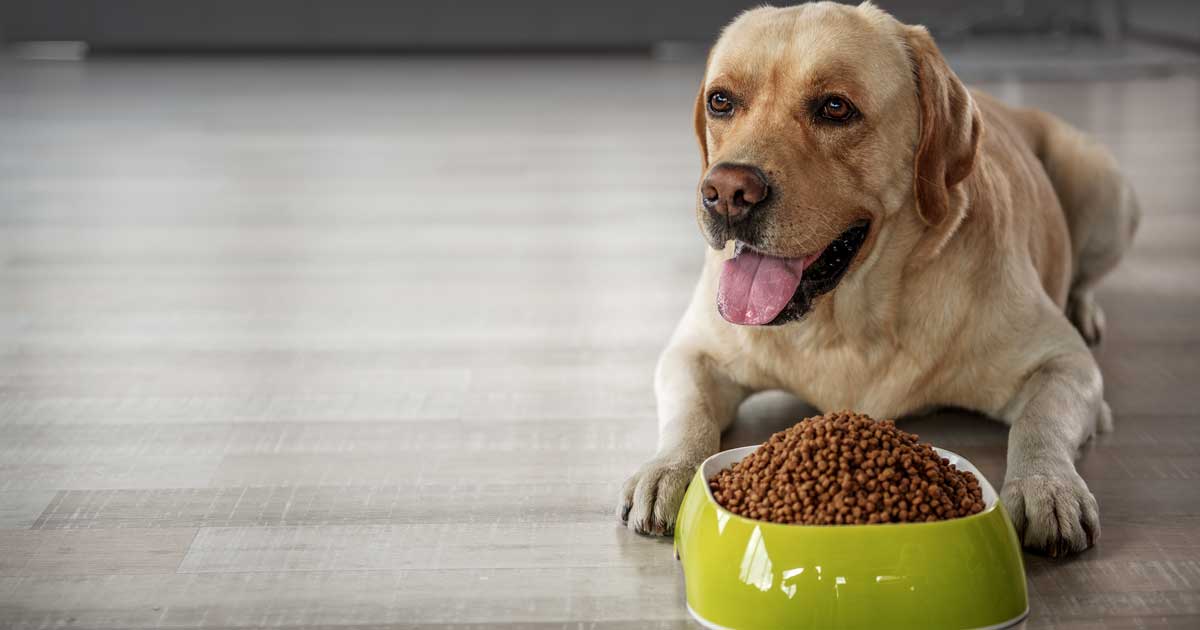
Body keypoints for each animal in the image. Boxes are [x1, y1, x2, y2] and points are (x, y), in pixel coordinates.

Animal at [624, 3, 1137, 554]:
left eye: (835, 108)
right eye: (720, 101)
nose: (725, 192)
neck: (846, 322)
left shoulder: (1066, 364)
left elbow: (1038, 422)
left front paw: (1046, 486)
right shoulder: (692, 352)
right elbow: (690, 414)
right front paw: (667, 469)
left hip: (1105, 188)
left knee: (1085, 277)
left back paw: (1084, 308)